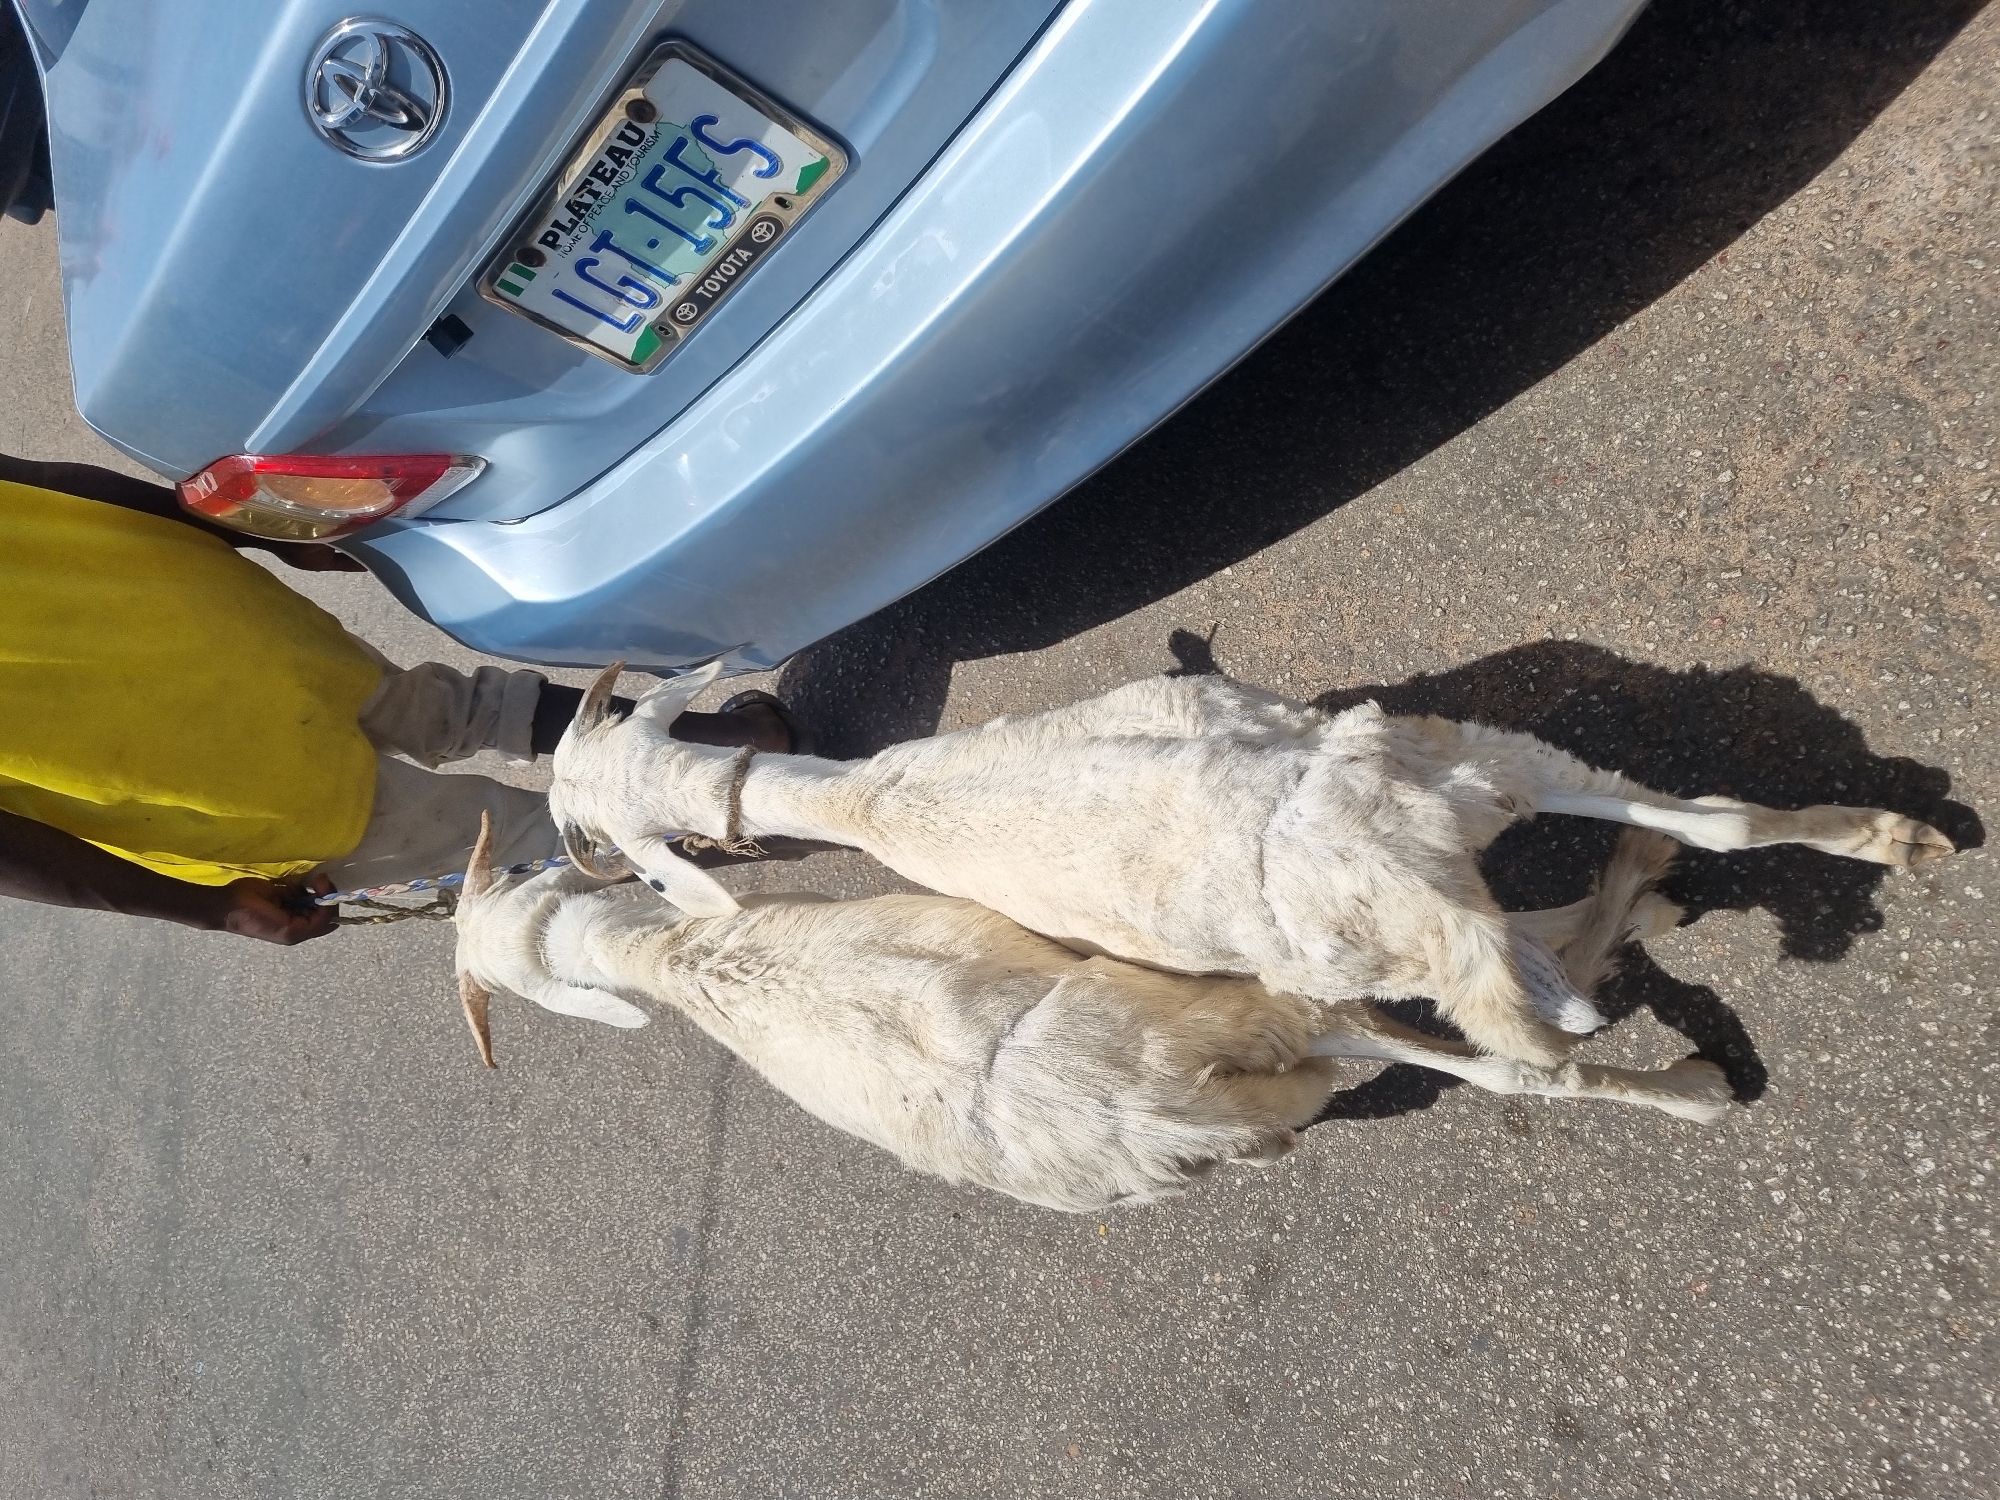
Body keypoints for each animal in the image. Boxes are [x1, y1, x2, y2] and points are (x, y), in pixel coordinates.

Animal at [455, 813, 1731, 1212]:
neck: (680, 957)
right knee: (1505, 1053)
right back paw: (1687, 1066)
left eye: (522, 882)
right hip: (1250, 1019)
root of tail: (1157, 1117)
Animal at [548, 666, 1952, 1071]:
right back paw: (1885, 838)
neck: (871, 797)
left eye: (585, 822)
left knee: (1544, 1007)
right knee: (1688, 830)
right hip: (1465, 762)